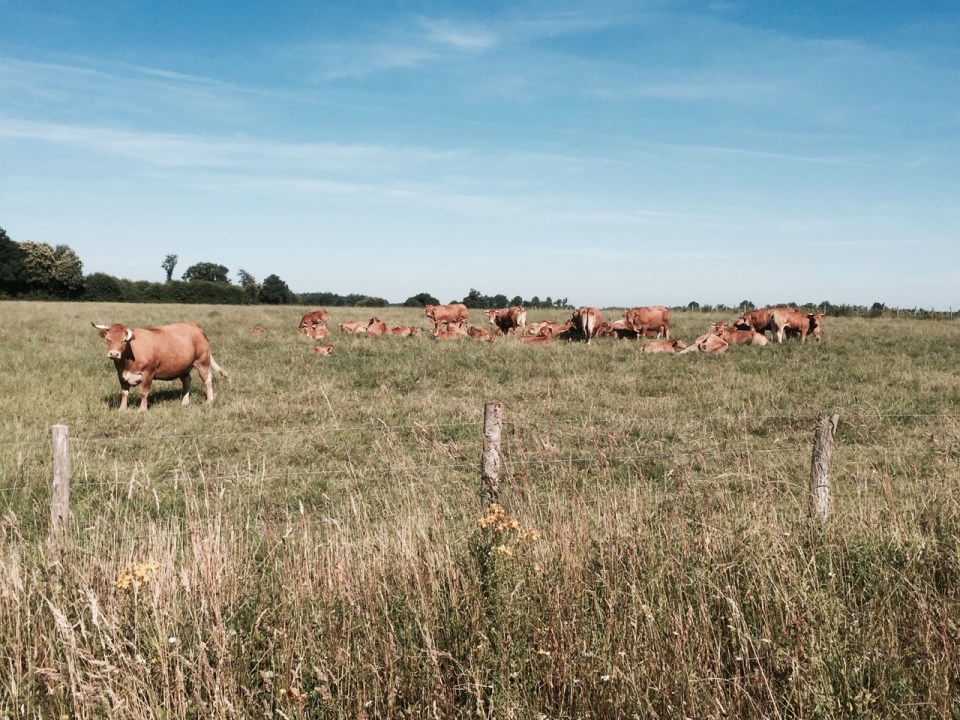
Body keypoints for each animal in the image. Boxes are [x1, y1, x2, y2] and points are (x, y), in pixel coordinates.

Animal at [93, 322, 229, 411]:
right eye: (108, 339)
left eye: (124, 341)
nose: (114, 354)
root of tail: (193, 325)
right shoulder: (121, 374)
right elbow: (124, 393)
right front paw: (122, 409)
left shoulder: (148, 373)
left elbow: (143, 392)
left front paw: (142, 410)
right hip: (183, 366)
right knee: (187, 381)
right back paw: (185, 402)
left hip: (202, 362)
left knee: (207, 380)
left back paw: (209, 401)